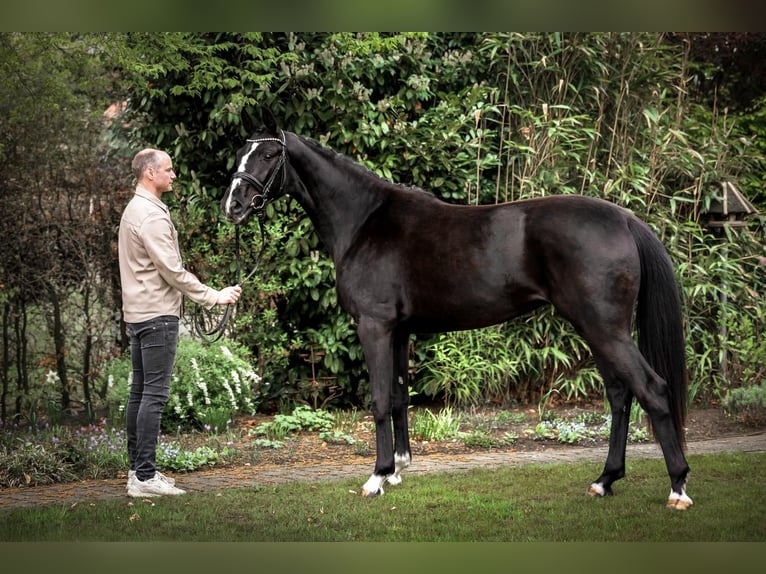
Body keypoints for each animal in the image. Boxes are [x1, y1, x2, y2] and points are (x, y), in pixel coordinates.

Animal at [220, 116, 693, 510]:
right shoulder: (399, 331)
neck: (365, 221)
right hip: (596, 329)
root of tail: (626, 218)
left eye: (268, 156)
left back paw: (678, 488)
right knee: (620, 395)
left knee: (652, 390)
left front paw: (376, 477)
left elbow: (378, 399)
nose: (233, 206)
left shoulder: (374, 326)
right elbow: (399, 397)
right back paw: (604, 480)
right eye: (241, 152)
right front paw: (398, 470)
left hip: (605, 328)